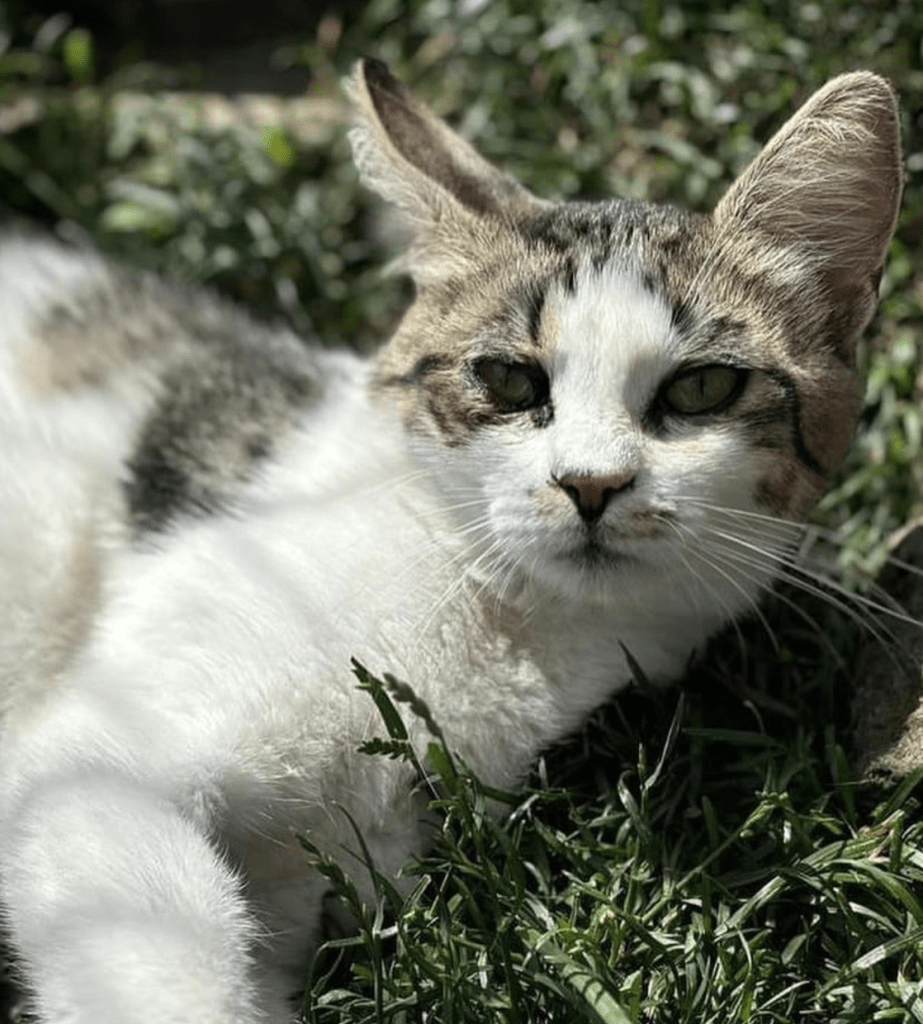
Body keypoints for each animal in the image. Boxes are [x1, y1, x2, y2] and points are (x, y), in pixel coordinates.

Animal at [0, 59, 901, 1019]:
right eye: (507, 378)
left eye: (701, 389)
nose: (590, 483)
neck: (500, 625)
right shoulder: (96, 763)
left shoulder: (316, 875)